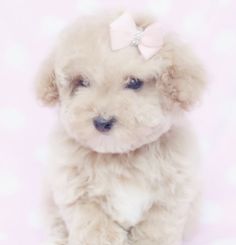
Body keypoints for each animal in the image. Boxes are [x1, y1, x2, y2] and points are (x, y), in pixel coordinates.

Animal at [36, 10, 206, 244]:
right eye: (82, 82)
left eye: (134, 82)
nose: (102, 122)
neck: (121, 157)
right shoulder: (80, 198)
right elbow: (94, 231)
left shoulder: (169, 200)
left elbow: (156, 231)